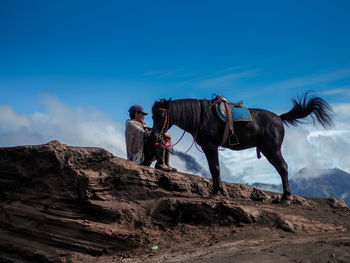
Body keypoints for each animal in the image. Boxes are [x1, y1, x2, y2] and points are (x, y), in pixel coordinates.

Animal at [151, 92, 334, 200]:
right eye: (153, 116)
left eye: (160, 116)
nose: (154, 136)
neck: (202, 117)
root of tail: (279, 118)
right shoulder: (209, 147)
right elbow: (213, 168)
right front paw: (218, 190)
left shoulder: (210, 146)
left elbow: (215, 168)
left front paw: (217, 192)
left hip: (272, 149)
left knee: (283, 167)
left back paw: (286, 197)